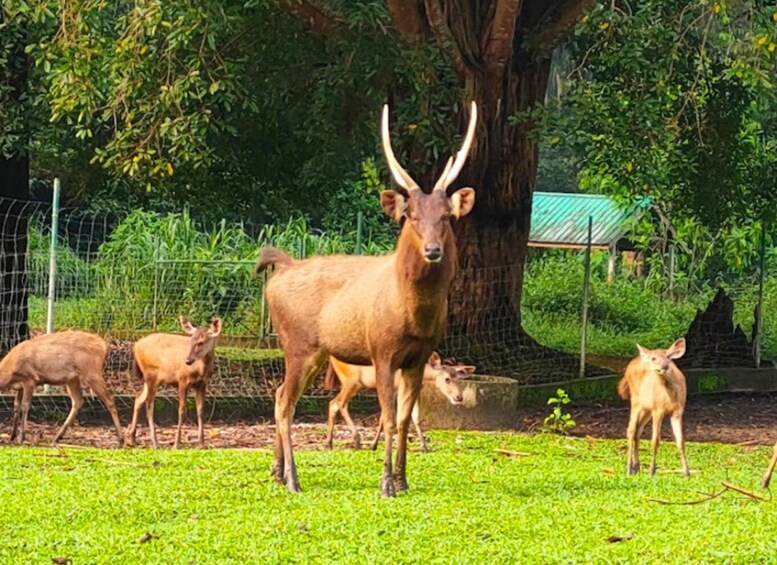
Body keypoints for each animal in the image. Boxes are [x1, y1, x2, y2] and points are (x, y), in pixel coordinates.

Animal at [125, 317, 221, 449]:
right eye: (191, 340)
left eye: (201, 342)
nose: (188, 360)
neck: (200, 370)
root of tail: (136, 346)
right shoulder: (182, 380)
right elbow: (181, 410)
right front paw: (176, 443)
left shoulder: (202, 384)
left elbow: (200, 410)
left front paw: (201, 443)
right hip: (151, 375)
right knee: (149, 404)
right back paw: (155, 442)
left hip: (150, 379)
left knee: (139, 397)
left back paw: (132, 439)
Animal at [323, 351, 473, 451]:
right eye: (447, 379)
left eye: (458, 378)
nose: (459, 397)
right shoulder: (395, 387)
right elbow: (386, 417)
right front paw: (373, 445)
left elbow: (415, 417)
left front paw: (424, 447)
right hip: (352, 380)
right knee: (338, 403)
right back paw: (355, 440)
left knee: (334, 403)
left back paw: (329, 444)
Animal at [618, 338, 690, 477]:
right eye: (653, 358)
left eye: (668, 356)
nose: (664, 366)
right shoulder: (658, 410)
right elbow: (655, 440)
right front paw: (651, 471)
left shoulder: (678, 411)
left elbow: (681, 441)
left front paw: (686, 472)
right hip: (636, 401)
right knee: (631, 430)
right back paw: (629, 469)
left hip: (646, 409)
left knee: (638, 430)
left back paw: (636, 467)